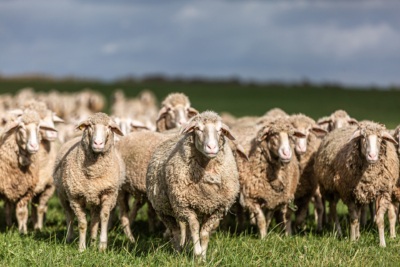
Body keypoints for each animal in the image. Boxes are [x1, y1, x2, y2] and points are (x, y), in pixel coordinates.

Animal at [52, 112, 126, 251]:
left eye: (109, 127)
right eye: (90, 125)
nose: (98, 143)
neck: (94, 173)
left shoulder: (109, 194)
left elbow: (104, 218)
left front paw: (102, 246)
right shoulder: (75, 198)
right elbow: (82, 223)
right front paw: (81, 248)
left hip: (94, 199)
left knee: (94, 221)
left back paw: (92, 242)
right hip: (63, 195)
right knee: (69, 215)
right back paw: (69, 238)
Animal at [145, 111, 242, 260]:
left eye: (220, 130)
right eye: (198, 129)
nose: (212, 147)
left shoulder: (216, 209)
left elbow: (204, 233)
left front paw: (202, 257)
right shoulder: (183, 205)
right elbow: (195, 226)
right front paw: (197, 252)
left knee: (187, 231)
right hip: (163, 209)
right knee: (175, 232)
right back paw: (178, 252)